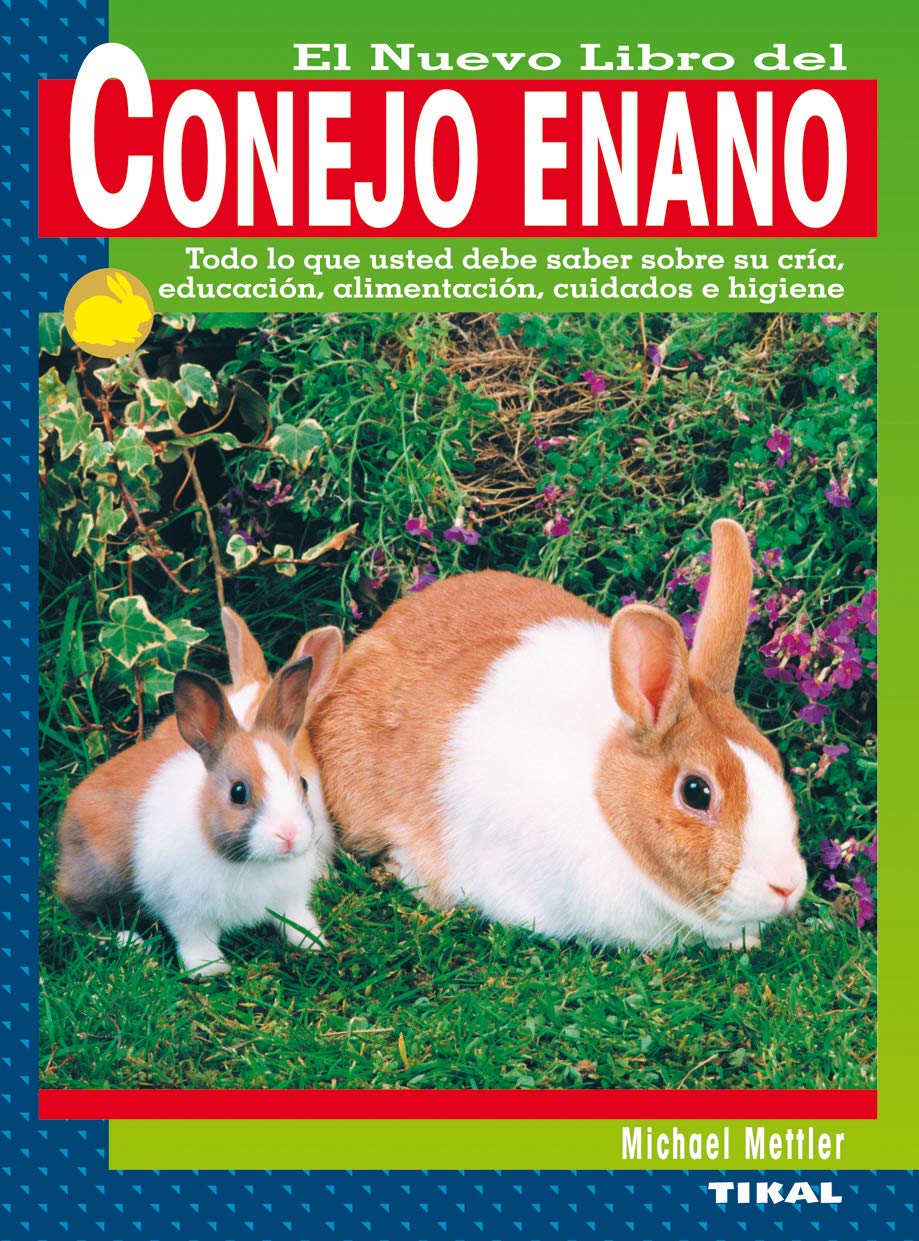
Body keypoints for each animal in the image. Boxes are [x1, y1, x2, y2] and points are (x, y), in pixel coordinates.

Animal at [56, 658, 331, 977]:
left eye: (303, 784)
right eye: (239, 792)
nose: (289, 836)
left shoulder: (289, 900)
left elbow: (295, 921)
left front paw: (314, 943)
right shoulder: (184, 911)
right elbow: (196, 940)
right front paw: (211, 970)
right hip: (101, 880)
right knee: (79, 913)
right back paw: (130, 942)